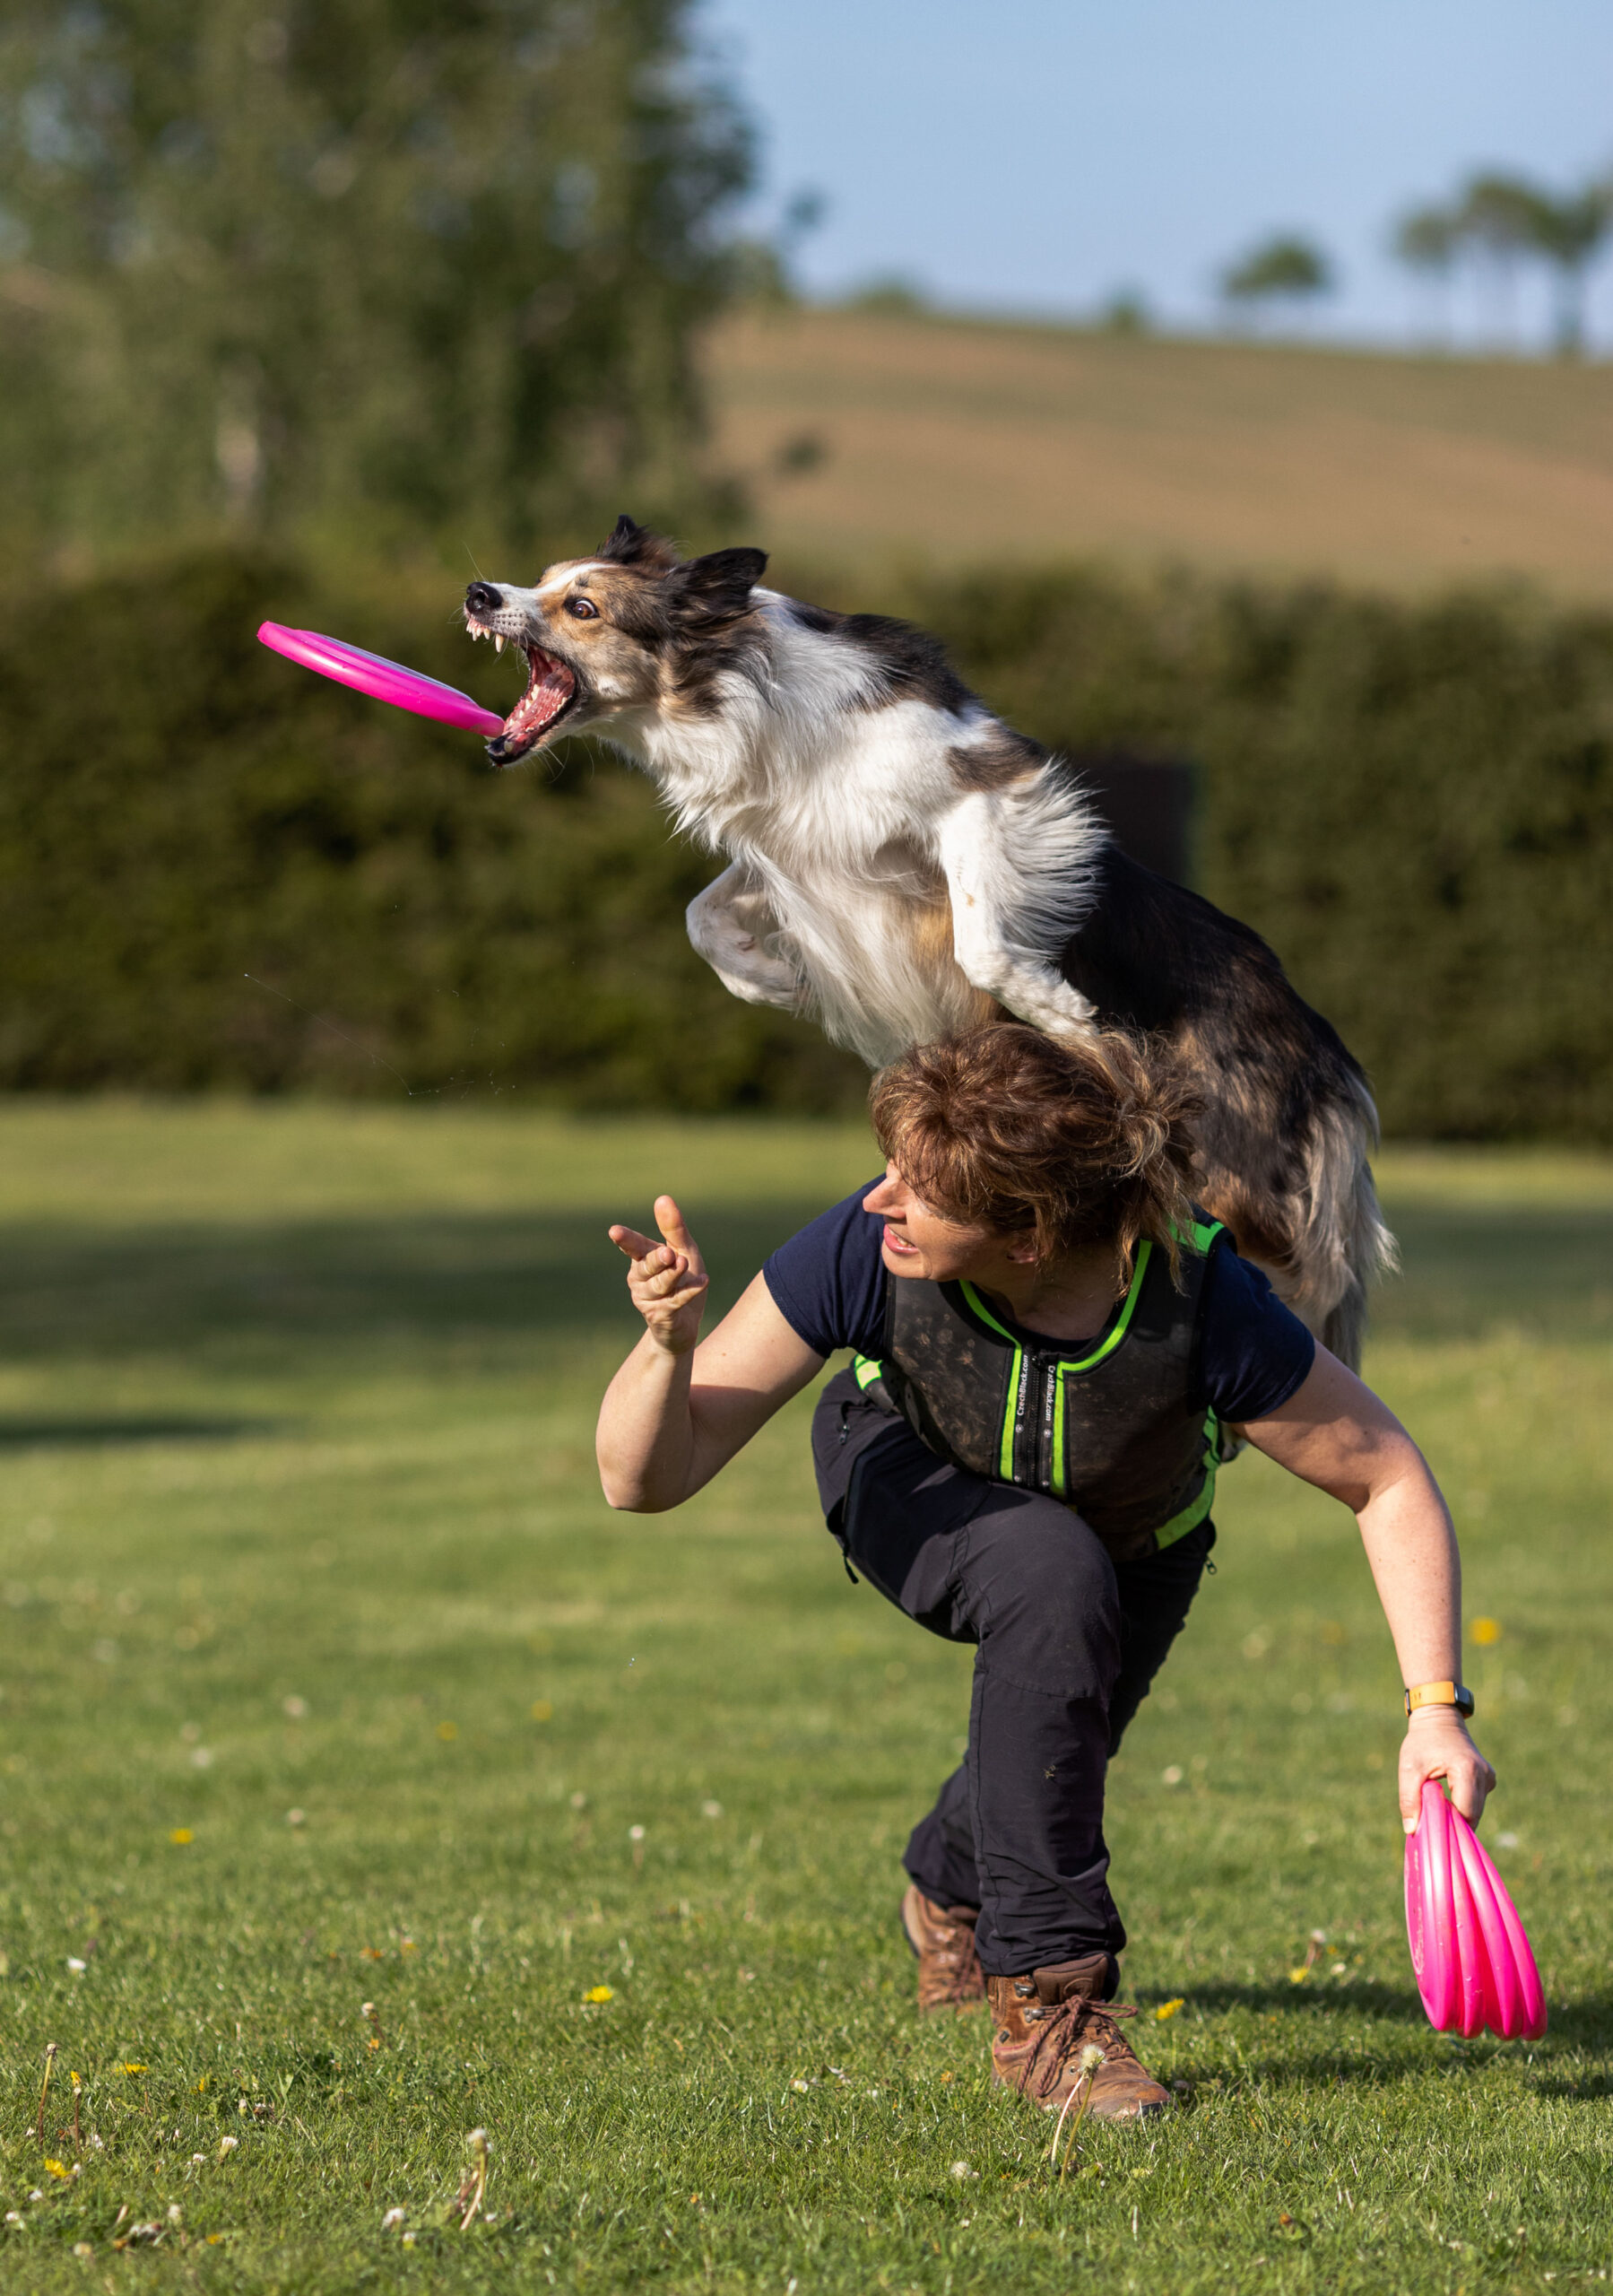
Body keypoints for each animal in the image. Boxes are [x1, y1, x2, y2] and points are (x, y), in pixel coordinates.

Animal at [461, 517, 1394, 1359]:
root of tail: (1324, 1052)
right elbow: (702, 916)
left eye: (582, 606)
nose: (478, 593)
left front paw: (1062, 1015)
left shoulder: (986, 792)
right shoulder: (804, 849)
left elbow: (984, 939)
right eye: (540, 578)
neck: (741, 690)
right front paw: (774, 983)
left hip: (1244, 1196)